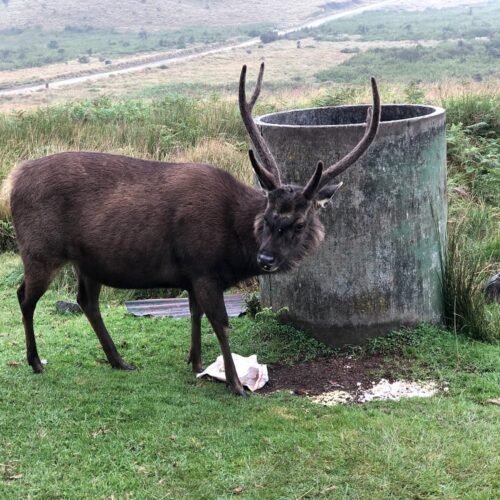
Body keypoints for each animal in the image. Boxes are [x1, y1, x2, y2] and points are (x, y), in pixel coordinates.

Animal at [8, 64, 378, 396]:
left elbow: (195, 314)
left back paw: (118, 360)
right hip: (40, 248)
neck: (233, 251)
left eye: (299, 222)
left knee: (86, 301)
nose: (266, 259)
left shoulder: (191, 274)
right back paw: (36, 362)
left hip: (89, 261)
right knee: (24, 295)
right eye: (268, 215)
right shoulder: (202, 266)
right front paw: (235, 385)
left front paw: (197, 362)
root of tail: (13, 178)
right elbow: (222, 324)